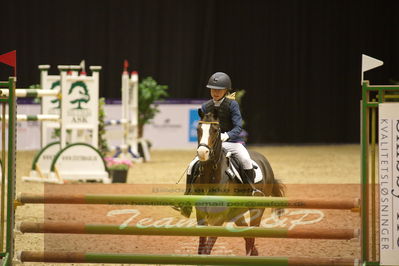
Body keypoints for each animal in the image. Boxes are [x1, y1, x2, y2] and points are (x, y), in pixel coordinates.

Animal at [183, 109, 286, 256]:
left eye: (215, 130)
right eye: (198, 129)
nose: (202, 152)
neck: (211, 176)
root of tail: (264, 161)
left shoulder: (219, 218)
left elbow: (207, 248)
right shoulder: (201, 215)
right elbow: (201, 248)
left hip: (257, 209)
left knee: (252, 232)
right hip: (237, 213)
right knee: (246, 233)